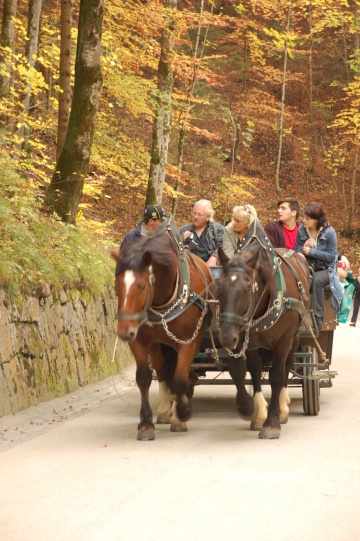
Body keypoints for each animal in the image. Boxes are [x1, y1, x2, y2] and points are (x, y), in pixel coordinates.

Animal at [111, 228, 215, 438]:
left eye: (142, 286)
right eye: (117, 288)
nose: (124, 332)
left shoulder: (187, 342)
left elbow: (180, 378)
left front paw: (182, 414)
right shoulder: (139, 341)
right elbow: (144, 377)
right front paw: (145, 424)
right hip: (158, 344)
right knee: (161, 370)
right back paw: (165, 409)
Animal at [217, 245, 310, 438]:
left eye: (247, 288)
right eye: (219, 285)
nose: (226, 337)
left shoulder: (283, 340)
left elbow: (277, 376)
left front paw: (272, 422)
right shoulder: (245, 339)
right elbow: (244, 371)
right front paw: (251, 409)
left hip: (294, 336)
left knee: (287, 366)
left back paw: (282, 409)